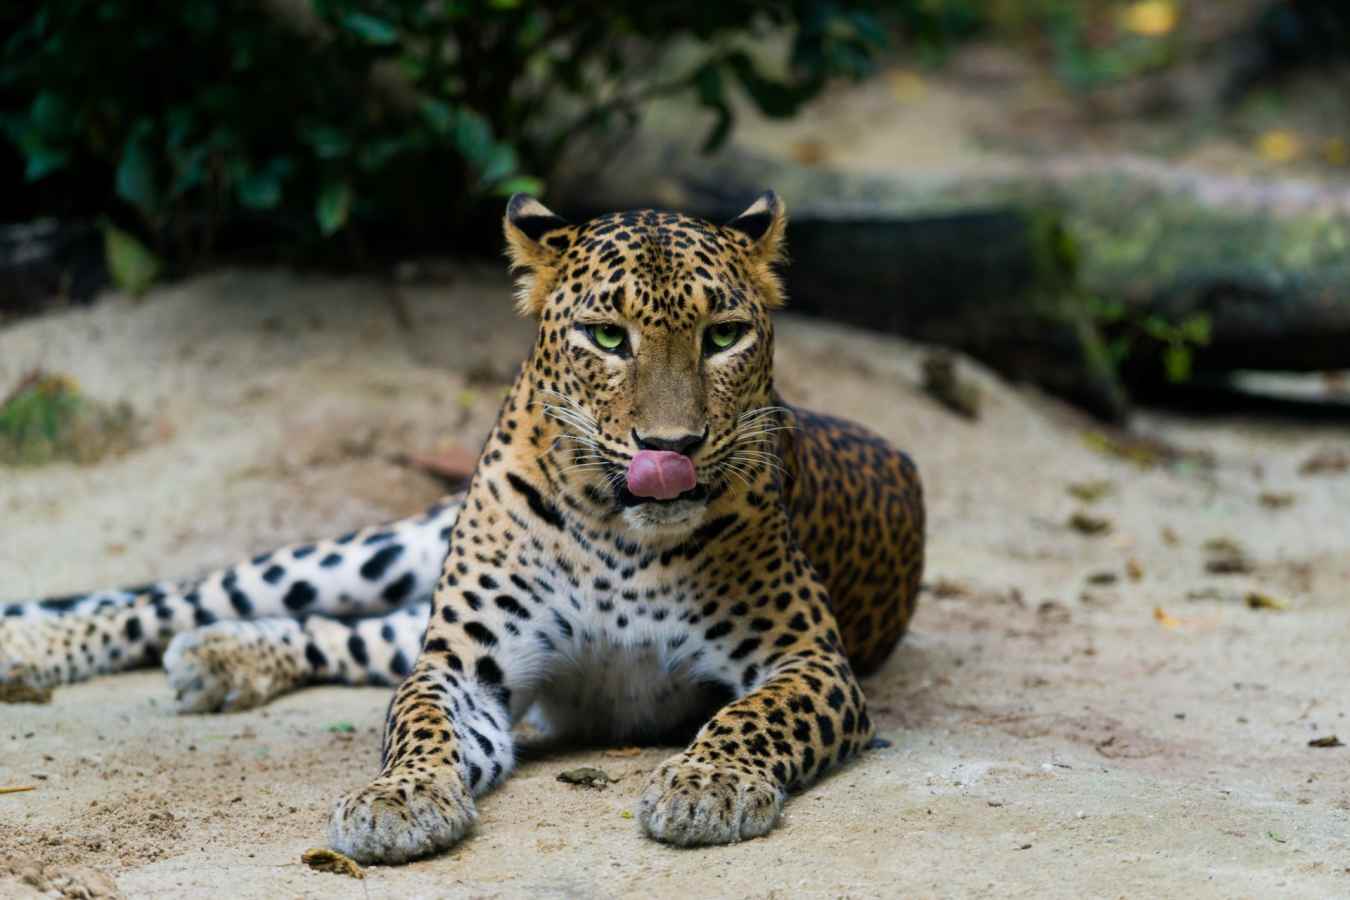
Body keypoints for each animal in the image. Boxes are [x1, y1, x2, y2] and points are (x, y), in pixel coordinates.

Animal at [0, 191, 924, 863]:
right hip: (383, 553)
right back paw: (36, 649)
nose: (672, 448)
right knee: (185, 596)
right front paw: (400, 798)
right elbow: (419, 724)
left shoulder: (810, 662)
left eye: (724, 335)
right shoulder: (462, 667)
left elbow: (749, 718)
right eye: (607, 336)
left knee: (342, 635)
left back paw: (222, 659)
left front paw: (707, 785)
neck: (623, 538)